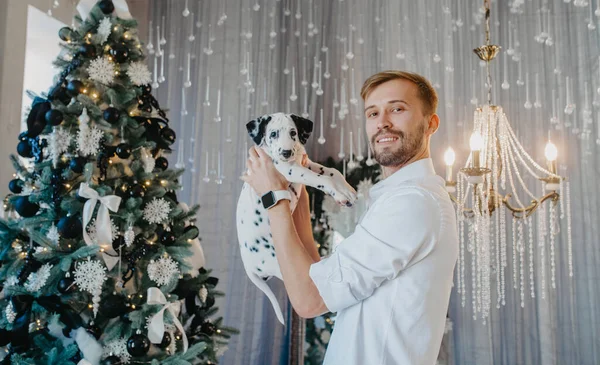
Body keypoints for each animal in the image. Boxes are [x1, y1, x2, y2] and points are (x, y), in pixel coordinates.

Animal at [234, 112, 356, 322]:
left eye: (293, 132)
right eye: (273, 134)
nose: (286, 153)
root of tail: (249, 265)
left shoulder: (306, 163)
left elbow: (333, 172)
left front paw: (347, 189)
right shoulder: (292, 170)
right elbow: (322, 179)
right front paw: (340, 193)